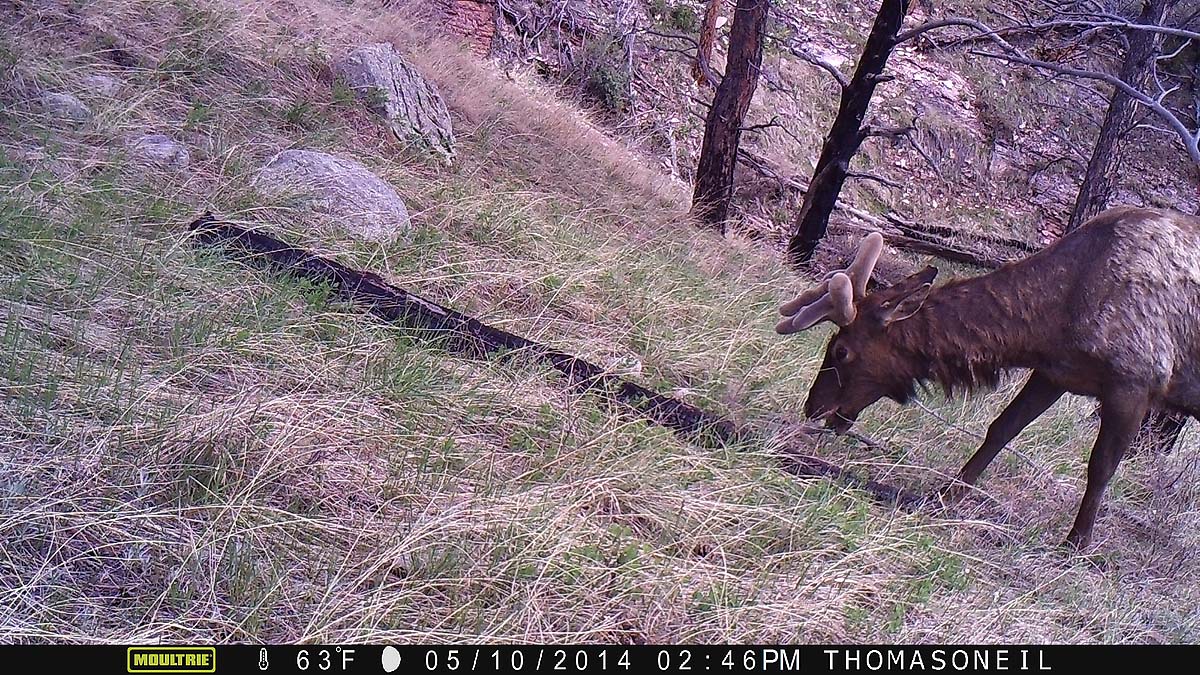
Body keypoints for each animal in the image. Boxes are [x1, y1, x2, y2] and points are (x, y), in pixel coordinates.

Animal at [772, 207, 1200, 550]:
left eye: (841, 351)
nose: (813, 407)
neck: (1056, 318)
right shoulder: (1054, 373)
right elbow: (1000, 430)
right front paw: (947, 494)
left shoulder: (1135, 383)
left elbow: (1101, 467)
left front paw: (1077, 543)